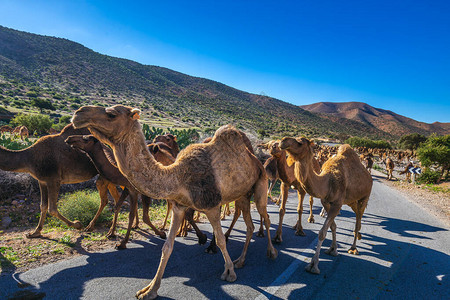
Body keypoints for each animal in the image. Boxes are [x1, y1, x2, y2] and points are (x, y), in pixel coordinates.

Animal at [71, 105, 276, 300]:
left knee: (265, 216)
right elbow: (167, 247)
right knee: (249, 224)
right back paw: (240, 260)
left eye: (112, 114)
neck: (178, 177)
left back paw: (271, 252)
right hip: (243, 195)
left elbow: (220, 240)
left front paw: (229, 273)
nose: (79, 113)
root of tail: (255, 158)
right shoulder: (179, 206)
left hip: (260, 184)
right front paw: (149, 290)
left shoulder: (210, 205)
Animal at [278, 137, 372, 276]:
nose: (283, 141)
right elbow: (332, 226)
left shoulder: (337, 204)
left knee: (358, 222)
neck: (328, 181)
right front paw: (333, 249)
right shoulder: (326, 201)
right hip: (352, 201)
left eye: (300, 142)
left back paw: (353, 248)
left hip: (364, 198)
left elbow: (322, 232)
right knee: (356, 217)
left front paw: (313, 265)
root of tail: (368, 176)